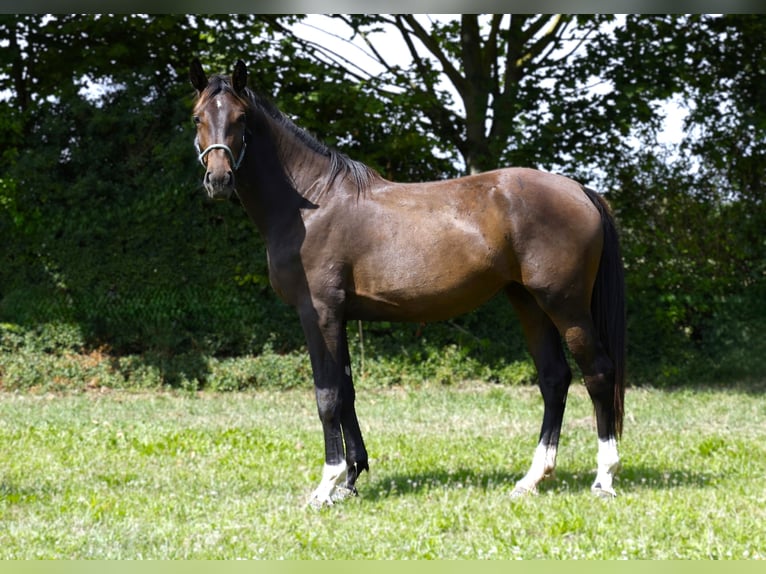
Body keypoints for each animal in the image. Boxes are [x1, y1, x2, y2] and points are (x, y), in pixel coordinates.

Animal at [189, 59, 628, 508]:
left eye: (241, 119)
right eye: (198, 117)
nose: (219, 180)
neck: (312, 204)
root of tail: (580, 190)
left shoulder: (319, 313)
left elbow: (327, 396)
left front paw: (327, 485)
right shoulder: (341, 317)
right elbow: (347, 392)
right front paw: (351, 479)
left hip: (566, 306)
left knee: (599, 374)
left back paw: (604, 478)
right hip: (529, 302)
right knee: (554, 378)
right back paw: (531, 479)